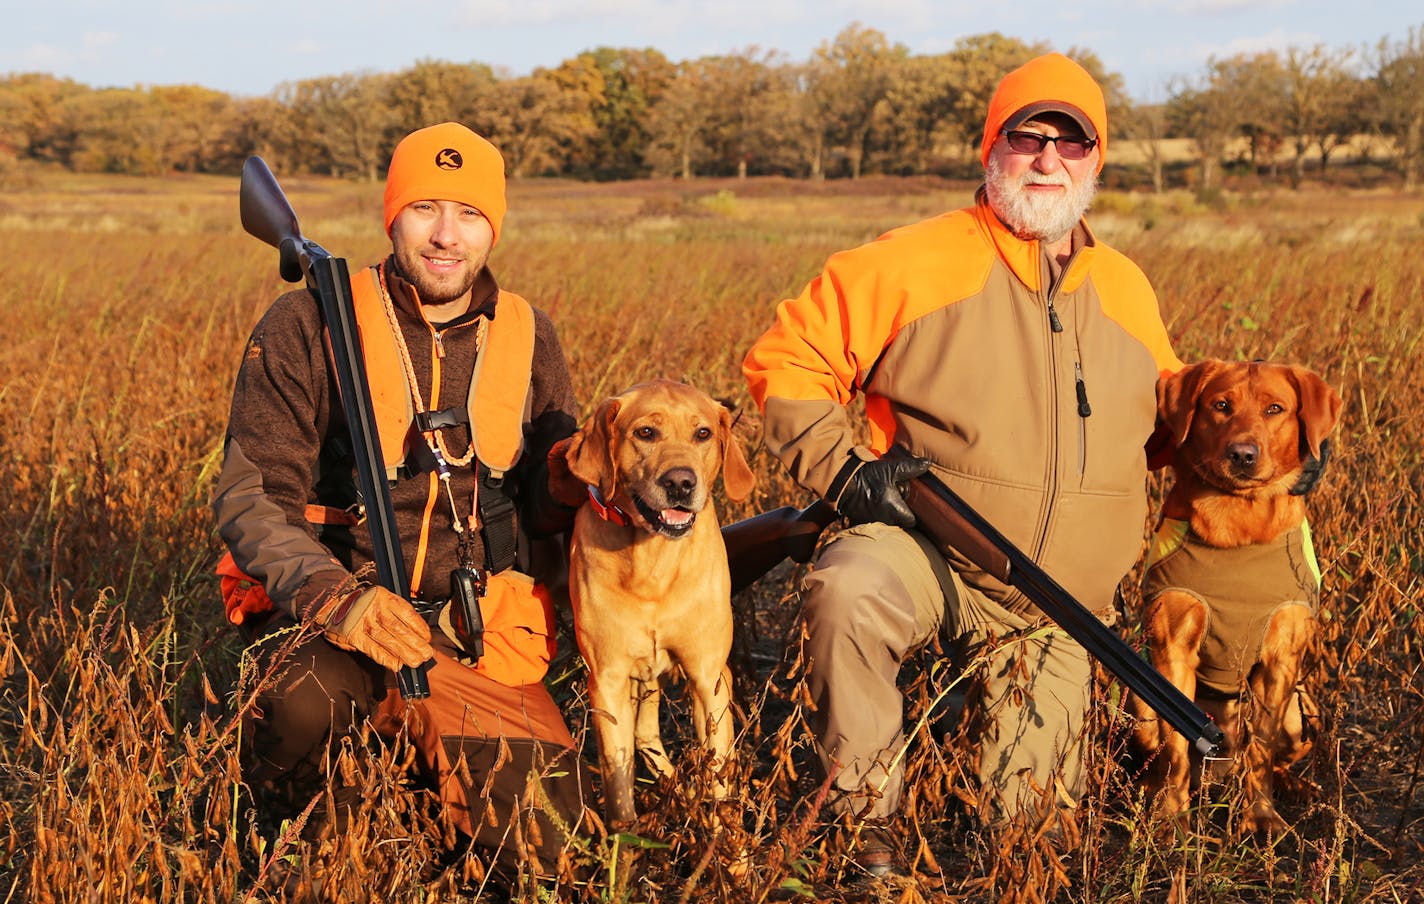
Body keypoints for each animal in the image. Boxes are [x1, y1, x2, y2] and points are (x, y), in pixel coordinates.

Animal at [563, 378, 757, 831]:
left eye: (703, 433)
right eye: (646, 433)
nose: (681, 483)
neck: (652, 566)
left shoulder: (709, 678)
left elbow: (718, 782)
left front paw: (726, 845)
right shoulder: (608, 681)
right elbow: (619, 785)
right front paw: (627, 843)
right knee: (644, 734)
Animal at [1133, 358, 1344, 837]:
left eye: (1274, 408)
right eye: (1221, 405)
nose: (1243, 454)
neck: (1239, 523)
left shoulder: (1280, 659)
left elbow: (1261, 750)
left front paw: (1260, 816)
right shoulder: (1172, 648)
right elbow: (1176, 745)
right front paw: (1171, 815)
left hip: (1300, 711)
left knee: (1275, 755)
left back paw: (1295, 787)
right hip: (1140, 705)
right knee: (1157, 747)